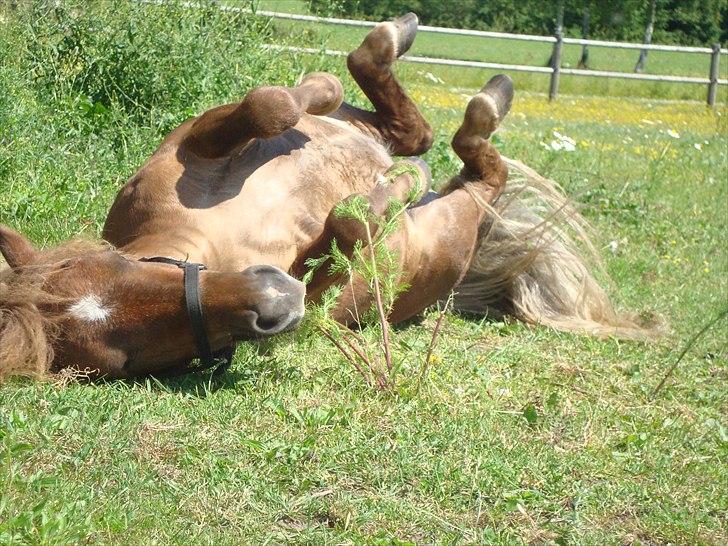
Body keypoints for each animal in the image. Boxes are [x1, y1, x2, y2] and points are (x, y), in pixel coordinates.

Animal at [1, 12, 648, 378]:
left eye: (121, 266)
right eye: (126, 360)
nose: (272, 301)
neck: (214, 241)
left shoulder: (191, 144)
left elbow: (273, 104)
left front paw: (318, 97)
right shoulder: (326, 297)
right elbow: (350, 224)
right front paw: (394, 188)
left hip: (386, 143)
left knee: (407, 126)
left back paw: (406, 62)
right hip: (458, 221)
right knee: (475, 161)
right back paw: (456, 129)